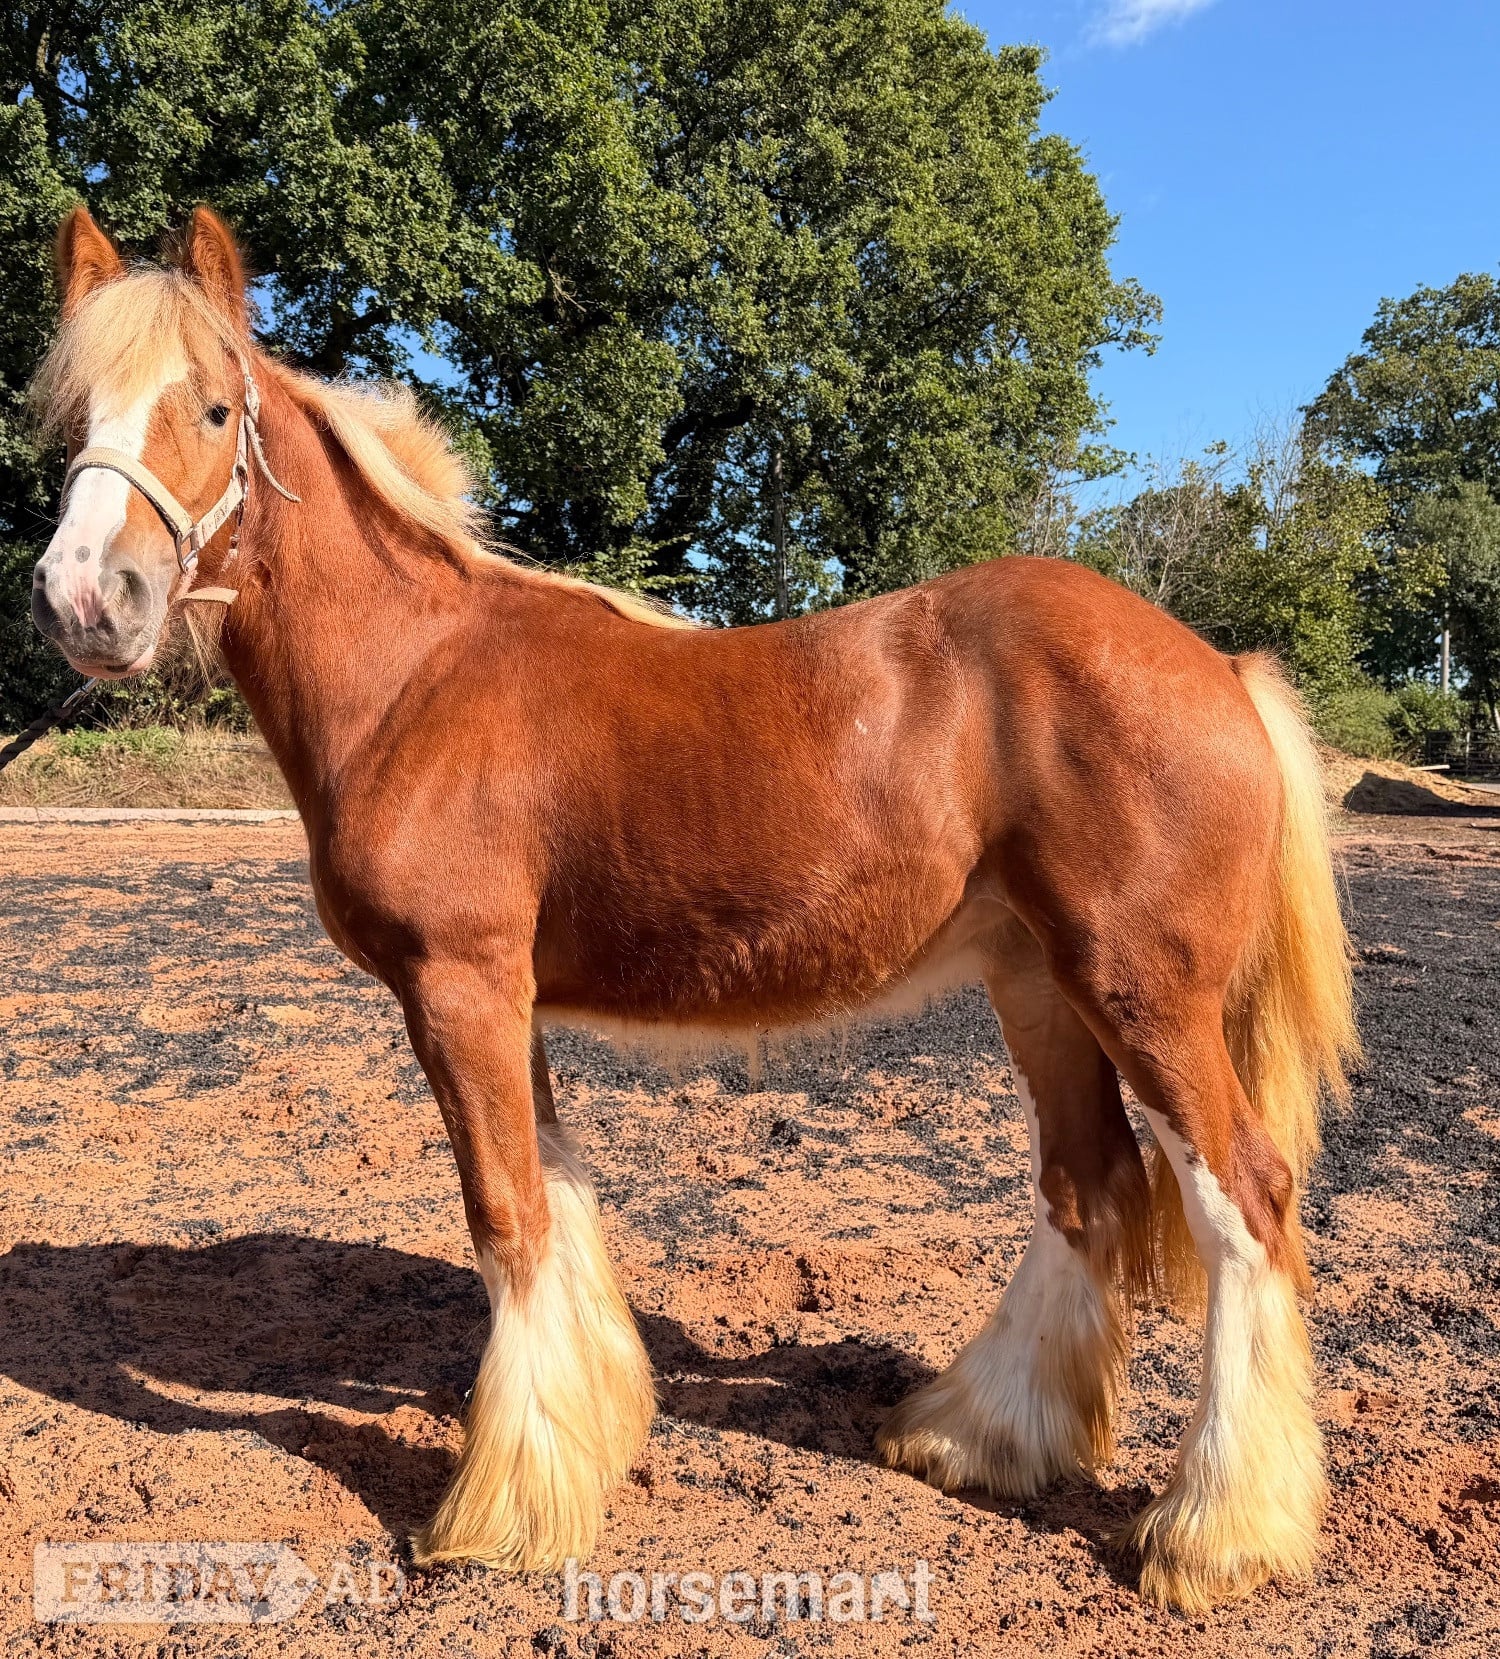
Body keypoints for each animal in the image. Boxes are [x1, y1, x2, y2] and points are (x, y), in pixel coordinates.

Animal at [27, 205, 1357, 1614]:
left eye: (215, 407)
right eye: (73, 416)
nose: (85, 597)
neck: (416, 678)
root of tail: (1219, 665)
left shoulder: (458, 987)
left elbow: (506, 1217)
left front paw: (501, 1515)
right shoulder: (504, 1001)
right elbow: (555, 1198)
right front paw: (589, 1442)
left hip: (1142, 994)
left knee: (1244, 1202)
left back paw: (1216, 1533)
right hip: (1038, 983)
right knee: (1087, 1185)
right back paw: (978, 1439)